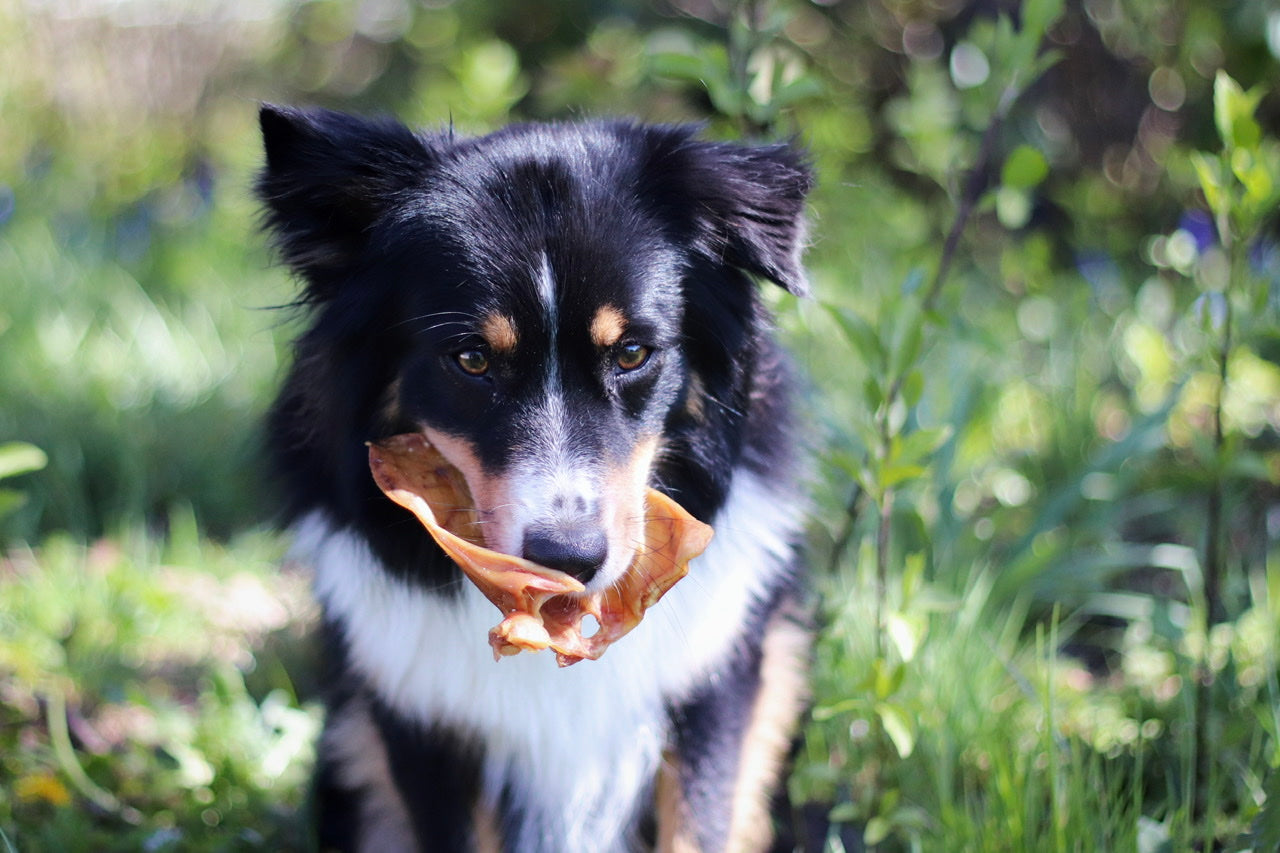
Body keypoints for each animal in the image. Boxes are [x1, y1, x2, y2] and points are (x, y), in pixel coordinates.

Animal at [256, 104, 814, 850]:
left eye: (632, 352)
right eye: (470, 359)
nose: (568, 560)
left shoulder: (715, 691)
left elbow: (699, 824)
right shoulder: (422, 723)